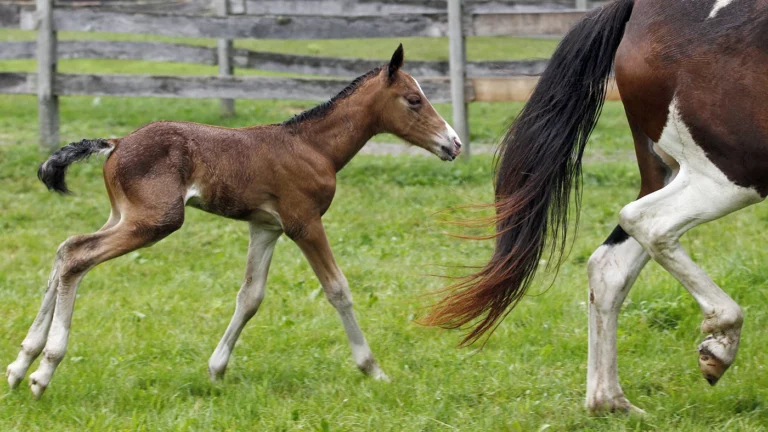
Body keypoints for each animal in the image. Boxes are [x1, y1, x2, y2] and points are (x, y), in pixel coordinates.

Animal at [6, 44, 462, 398]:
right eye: (414, 99)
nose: (454, 143)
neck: (313, 147)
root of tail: (116, 143)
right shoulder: (303, 223)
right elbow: (338, 290)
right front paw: (373, 369)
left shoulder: (266, 227)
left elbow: (250, 296)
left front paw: (216, 368)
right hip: (156, 220)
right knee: (77, 256)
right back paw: (43, 371)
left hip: (123, 215)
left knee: (66, 247)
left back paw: (19, 364)